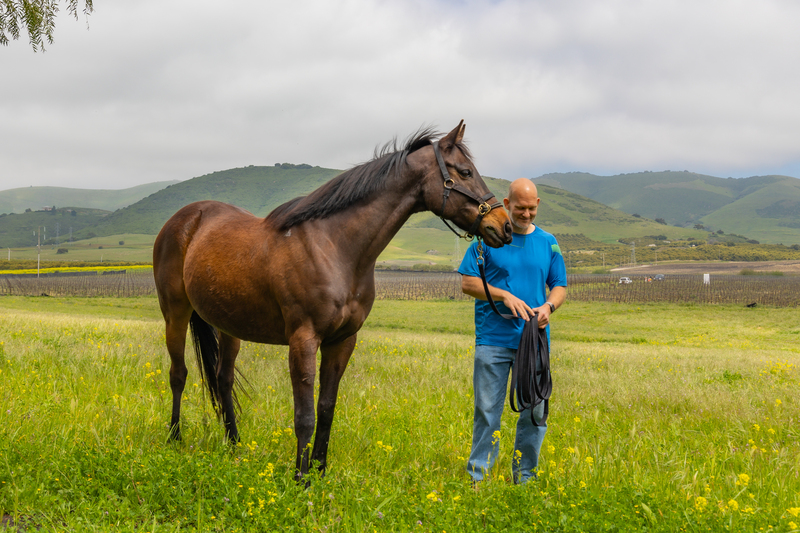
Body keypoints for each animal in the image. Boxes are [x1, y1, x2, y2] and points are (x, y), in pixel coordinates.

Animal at [152, 120, 512, 478]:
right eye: (465, 172)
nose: (505, 226)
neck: (335, 247)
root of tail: (185, 219)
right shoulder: (303, 340)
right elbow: (304, 416)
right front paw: (300, 478)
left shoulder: (342, 341)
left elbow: (326, 409)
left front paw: (319, 471)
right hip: (176, 315)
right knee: (178, 374)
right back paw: (174, 438)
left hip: (229, 327)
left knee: (223, 380)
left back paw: (234, 444)